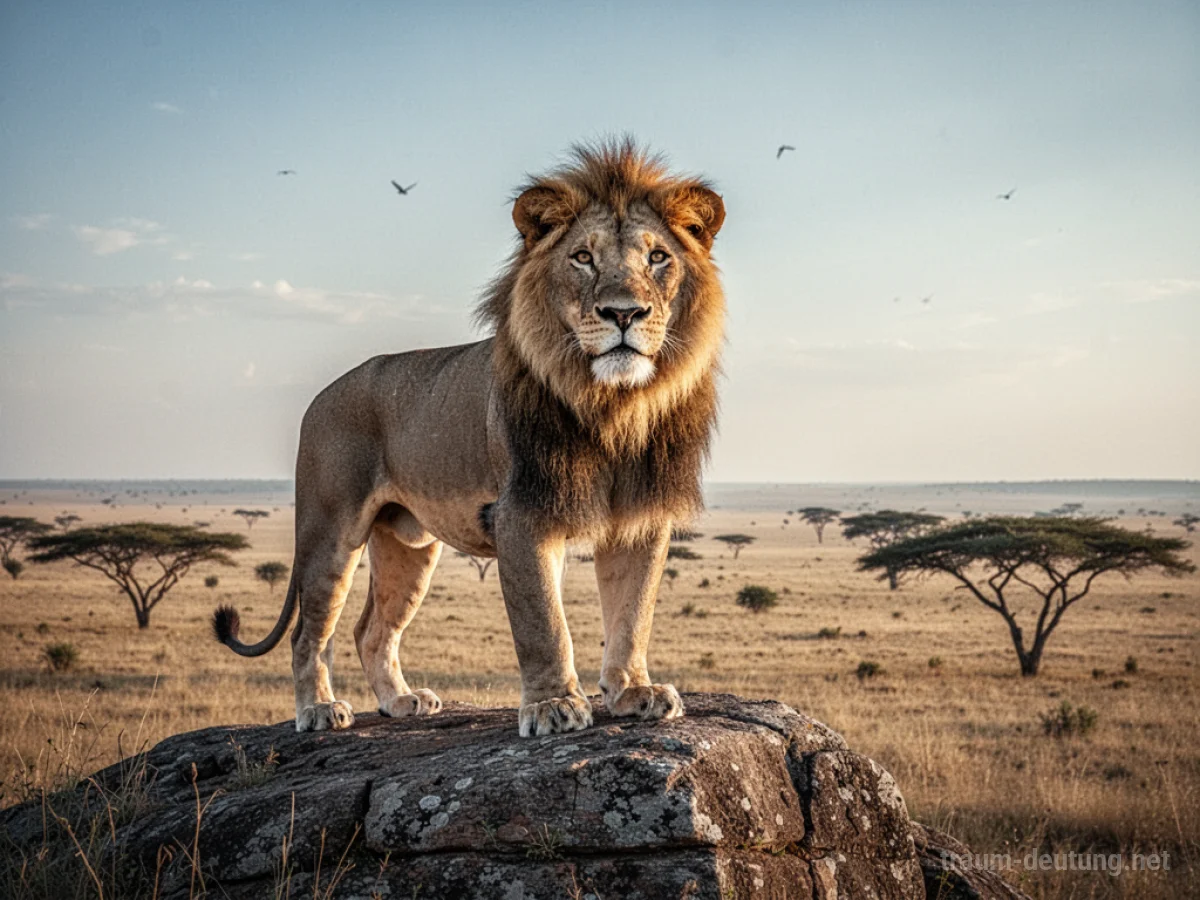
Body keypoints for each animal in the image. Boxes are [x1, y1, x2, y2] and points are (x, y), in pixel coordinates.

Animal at [212, 140, 726, 736]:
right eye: (583, 258)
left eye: (657, 257)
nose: (624, 313)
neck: (614, 406)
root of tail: (320, 396)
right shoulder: (522, 513)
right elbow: (544, 623)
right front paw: (553, 705)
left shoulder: (641, 519)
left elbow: (632, 614)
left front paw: (634, 692)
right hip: (329, 531)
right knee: (309, 631)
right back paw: (318, 709)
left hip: (409, 547)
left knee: (372, 630)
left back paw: (401, 701)